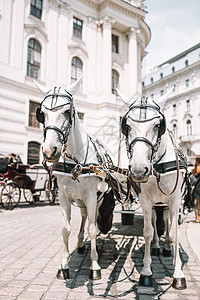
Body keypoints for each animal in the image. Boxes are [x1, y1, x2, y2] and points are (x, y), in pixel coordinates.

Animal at [117, 85, 188, 290]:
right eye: (127, 126)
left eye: (158, 125)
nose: (139, 169)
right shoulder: (145, 200)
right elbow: (148, 231)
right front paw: (146, 272)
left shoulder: (175, 199)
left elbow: (175, 231)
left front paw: (178, 273)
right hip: (157, 203)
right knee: (157, 222)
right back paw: (158, 246)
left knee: (167, 221)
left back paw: (167, 247)